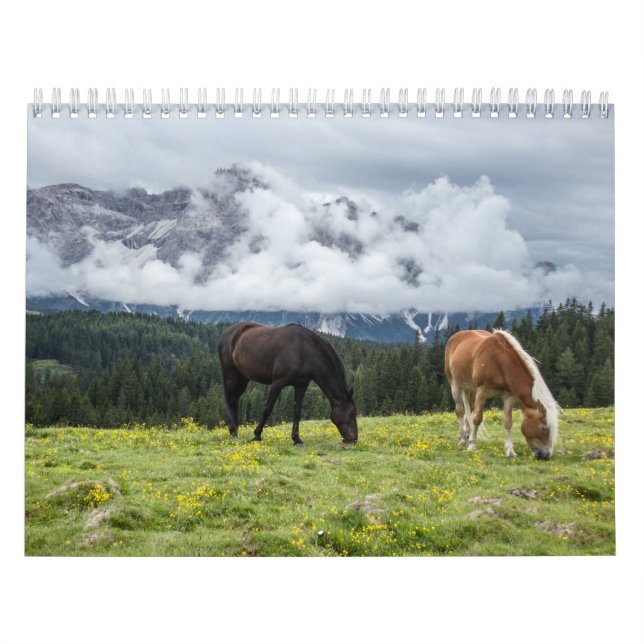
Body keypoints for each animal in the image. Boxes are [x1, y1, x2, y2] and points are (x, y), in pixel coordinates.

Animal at [217, 322, 358, 446]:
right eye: (352, 413)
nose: (353, 439)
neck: (304, 350)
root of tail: (227, 333)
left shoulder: (301, 385)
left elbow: (297, 412)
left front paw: (297, 439)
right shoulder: (277, 383)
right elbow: (267, 409)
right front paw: (257, 435)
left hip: (242, 377)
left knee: (235, 400)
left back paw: (235, 430)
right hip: (230, 373)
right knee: (230, 400)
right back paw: (233, 432)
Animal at [444, 329, 560, 460]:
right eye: (543, 427)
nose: (546, 455)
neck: (499, 362)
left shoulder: (509, 396)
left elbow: (508, 422)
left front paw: (510, 451)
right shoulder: (482, 391)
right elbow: (477, 418)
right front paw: (472, 445)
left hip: (470, 389)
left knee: (469, 410)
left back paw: (466, 435)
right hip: (455, 384)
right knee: (460, 411)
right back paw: (463, 440)